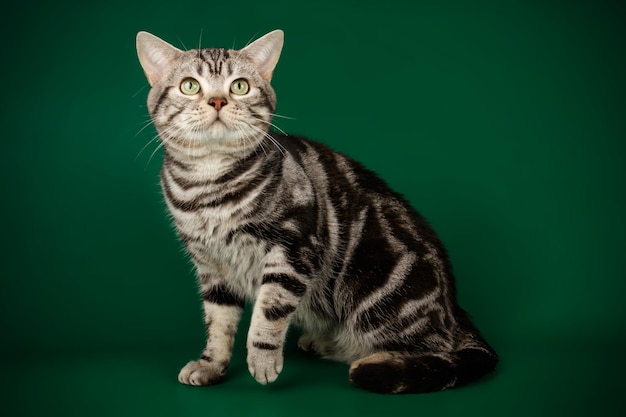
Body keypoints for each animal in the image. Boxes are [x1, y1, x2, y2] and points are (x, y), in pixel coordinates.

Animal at [134, 29, 494, 394]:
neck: (207, 185)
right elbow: (218, 322)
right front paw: (211, 365)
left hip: (376, 288)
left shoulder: (292, 248)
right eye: (190, 86)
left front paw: (262, 360)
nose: (218, 101)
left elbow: (268, 312)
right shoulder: (211, 265)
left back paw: (373, 361)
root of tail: (454, 308)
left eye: (240, 86)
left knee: (432, 350)